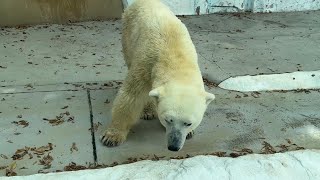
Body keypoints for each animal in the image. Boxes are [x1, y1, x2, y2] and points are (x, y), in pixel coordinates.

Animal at [100, 0, 215, 151]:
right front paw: (112, 136)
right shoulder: (146, 62)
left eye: (188, 123)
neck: (176, 56)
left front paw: (190, 133)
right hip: (128, 35)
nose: (173, 146)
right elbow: (131, 96)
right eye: (168, 119)